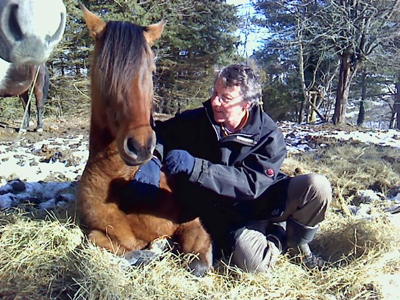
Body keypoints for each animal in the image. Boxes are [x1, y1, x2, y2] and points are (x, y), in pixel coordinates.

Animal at [76, 5, 212, 276]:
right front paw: (149, 252)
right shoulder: (100, 232)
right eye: (103, 70)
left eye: (152, 71)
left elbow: (198, 261)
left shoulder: (191, 223)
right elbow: (102, 242)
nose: (139, 147)